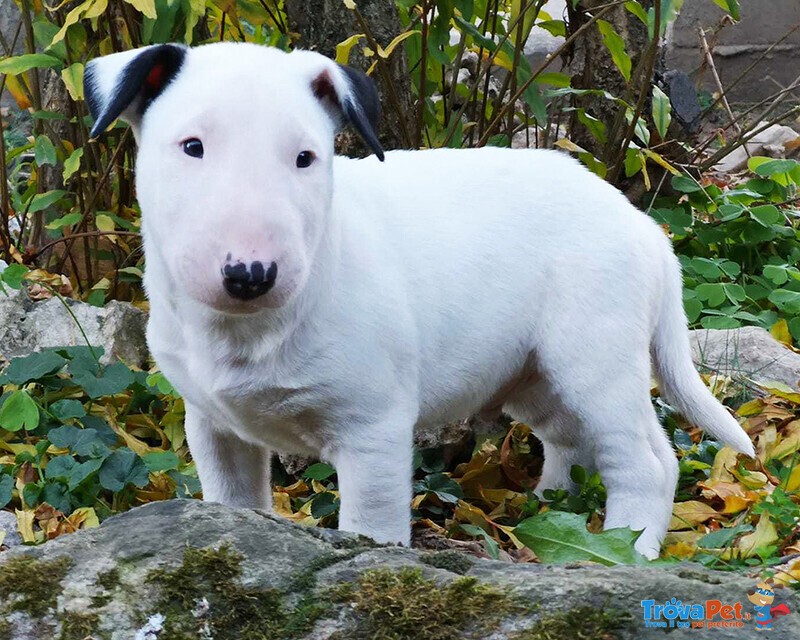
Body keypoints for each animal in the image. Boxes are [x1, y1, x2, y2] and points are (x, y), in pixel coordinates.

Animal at [84, 42, 752, 556]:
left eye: (305, 158)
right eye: (192, 146)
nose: (251, 274)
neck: (253, 329)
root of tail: (643, 228)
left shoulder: (372, 432)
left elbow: (371, 530)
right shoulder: (215, 428)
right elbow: (234, 503)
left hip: (595, 358)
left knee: (645, 462)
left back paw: (628, 547)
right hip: (536, 373)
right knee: (573, 438)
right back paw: (548, 506)